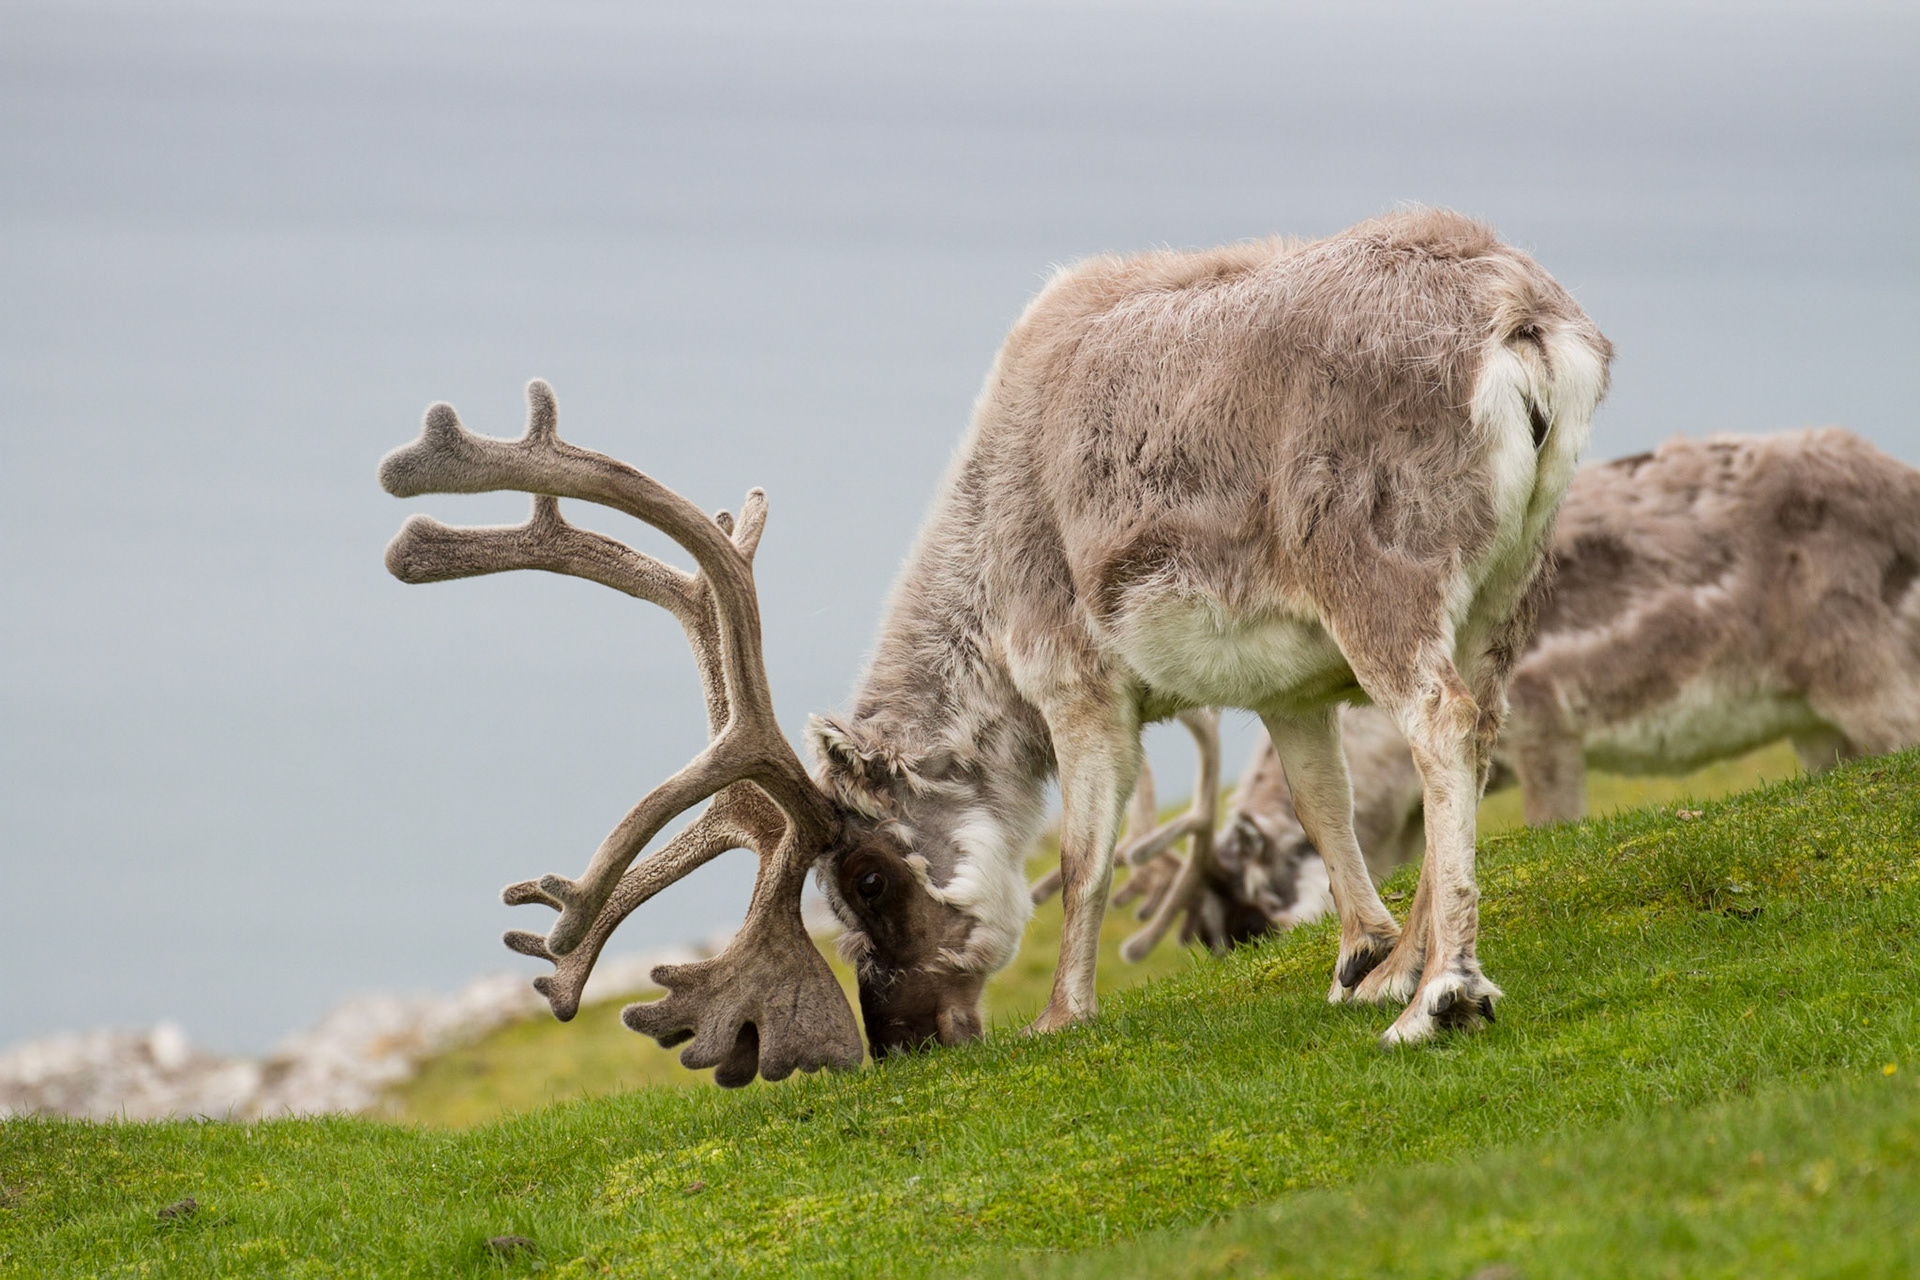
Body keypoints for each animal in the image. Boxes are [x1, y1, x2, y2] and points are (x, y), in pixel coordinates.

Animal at [379, 208, 1612, 1082]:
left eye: (867, 876)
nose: (903, 1037)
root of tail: (1528, 320)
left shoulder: (1073, 675)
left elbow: (1084, 856)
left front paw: (1062, 1014)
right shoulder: (1289, 679)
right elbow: (1325, 805)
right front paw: (1366, 960)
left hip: (1379, 572)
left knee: (1442, 718)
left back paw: (1445, 997)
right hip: (1504, 581)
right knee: (1477, 722)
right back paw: (1422, 973)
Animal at [1124, 429, 1920, 955]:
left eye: (1258, 910)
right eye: (1210, 941)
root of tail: (1902, 485)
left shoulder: (1544, 730)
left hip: (1868, 675)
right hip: (1815, 722)